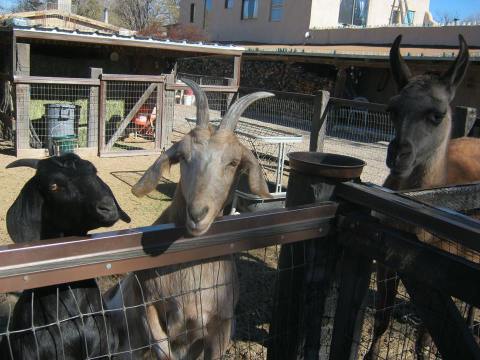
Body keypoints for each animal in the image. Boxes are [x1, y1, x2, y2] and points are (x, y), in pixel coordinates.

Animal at [108, 80, 274, 358]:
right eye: (183, 157)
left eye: (233, 163)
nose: (197, 213)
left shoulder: (222, 326)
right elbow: (162, 348)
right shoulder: (147, 305)